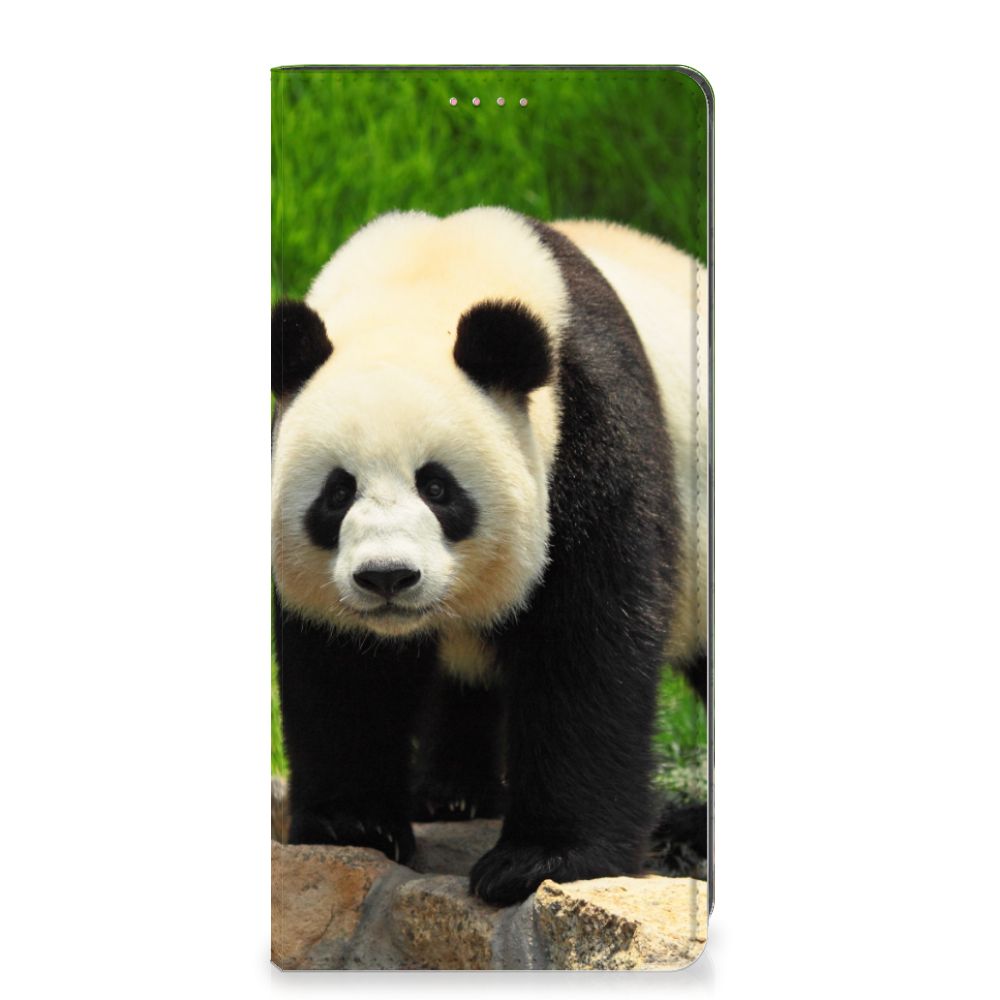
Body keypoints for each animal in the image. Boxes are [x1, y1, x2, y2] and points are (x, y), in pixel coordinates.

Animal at [272, 206, 708, 906]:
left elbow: (586, 640)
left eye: (438, 487)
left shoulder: (590, 426)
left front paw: (540, 860)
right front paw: (352, 824)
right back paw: (451, 794)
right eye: (337, 493)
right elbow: (342, 666)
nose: (387, 577)